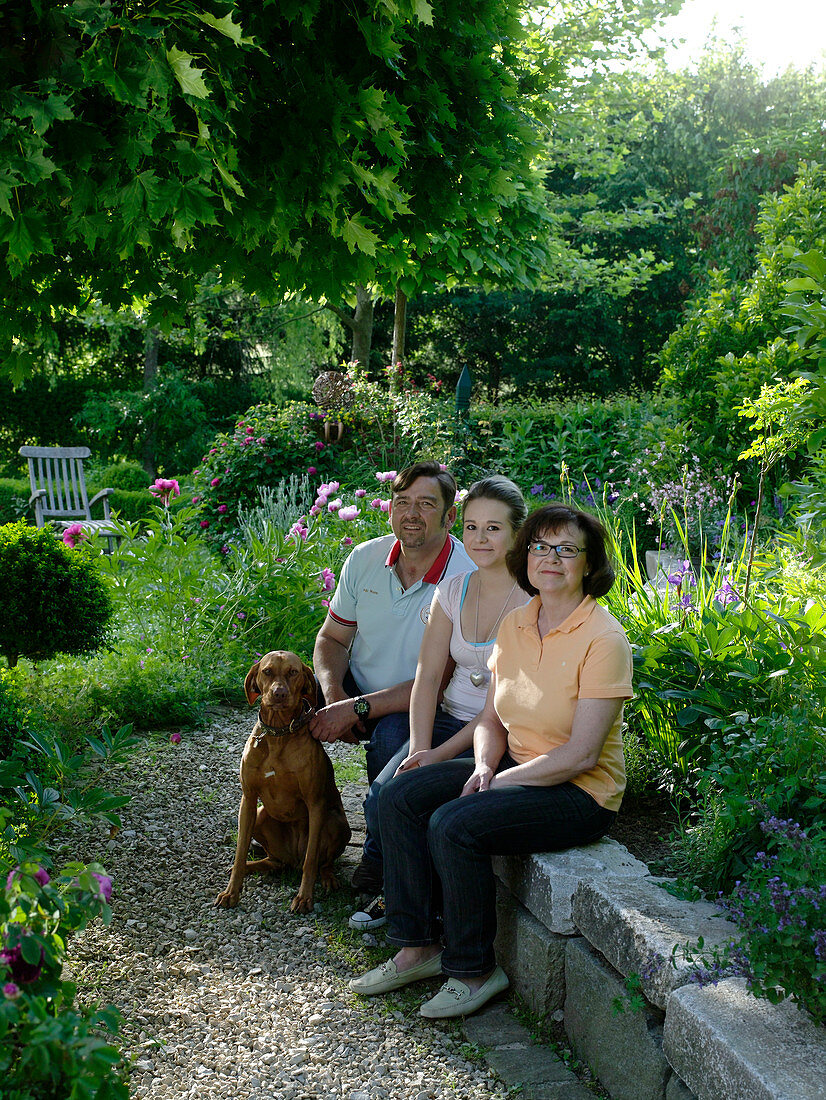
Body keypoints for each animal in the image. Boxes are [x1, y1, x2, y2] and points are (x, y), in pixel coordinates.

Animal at [214, 646, 349, 915]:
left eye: (293, 672)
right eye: (267, 672)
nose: (279, 693)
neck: (278, 734)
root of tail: (292, 859)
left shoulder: (315, 804)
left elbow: (311, 860)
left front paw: (304, 898)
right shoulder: (248, 800)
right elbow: (240, 851)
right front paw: (232, 891)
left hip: (336, 822)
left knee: (321, 862)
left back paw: (328, 877)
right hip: (261, 815)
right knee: (275, 861)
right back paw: (253, 866)